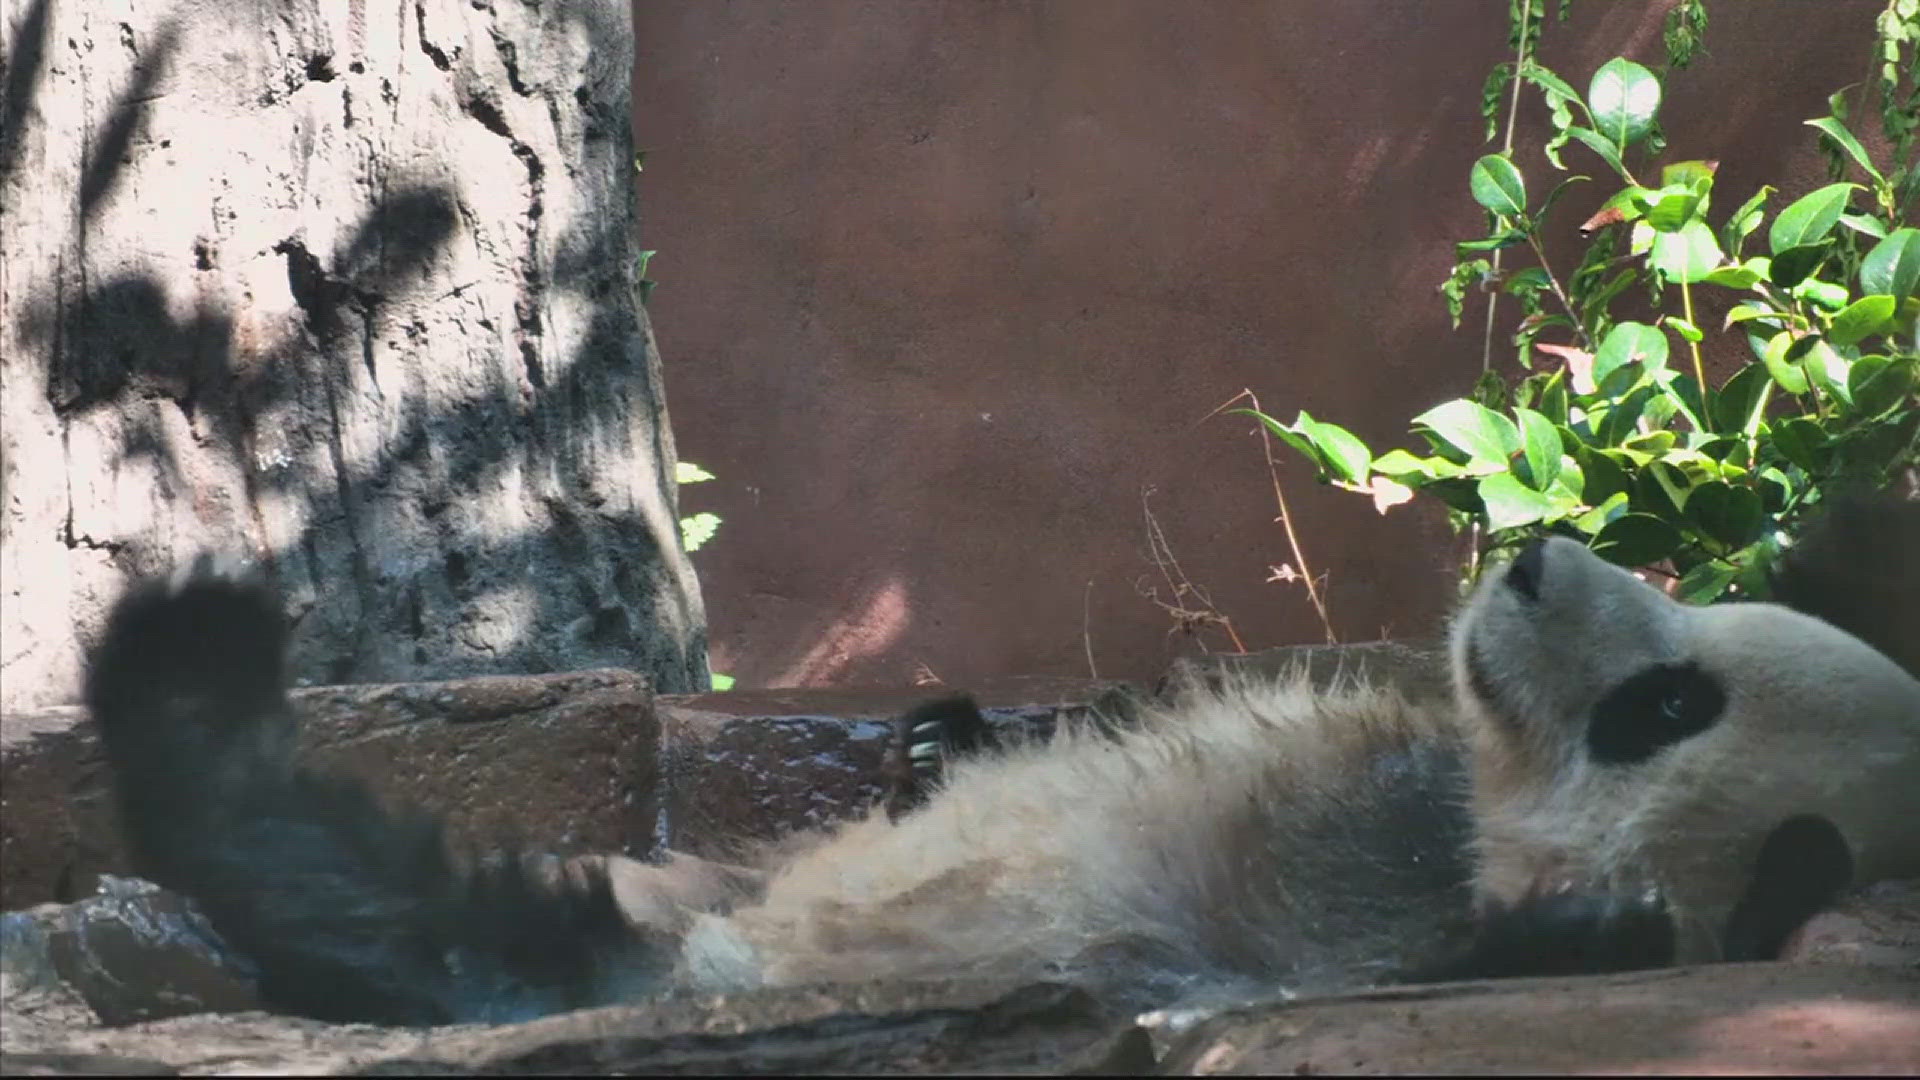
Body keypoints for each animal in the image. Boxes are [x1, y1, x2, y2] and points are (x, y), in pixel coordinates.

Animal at [78, 491, 1920, 1022]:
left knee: (409, 909)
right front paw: (940, 736)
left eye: (1665, 709)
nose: (1535, 559)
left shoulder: (1285, 930)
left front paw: (1588, 932)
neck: (1472, 824)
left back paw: (186, 677)